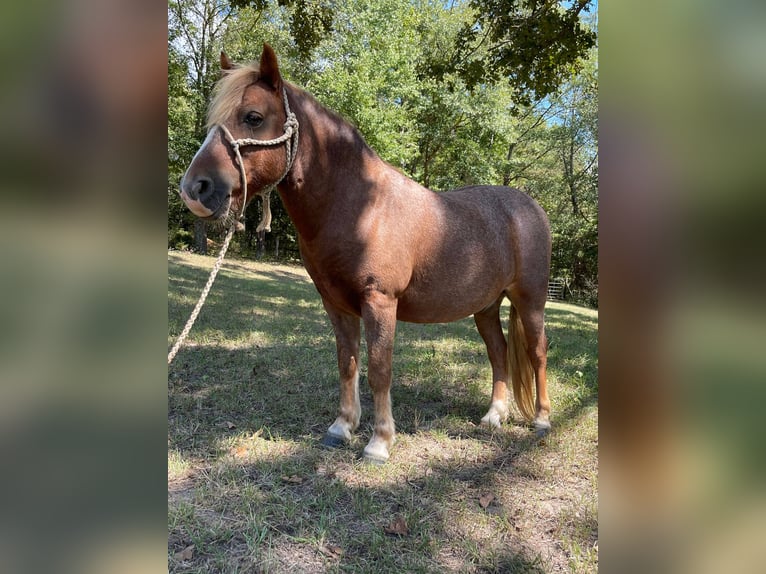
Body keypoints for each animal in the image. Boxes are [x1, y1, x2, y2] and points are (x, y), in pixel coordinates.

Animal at [180, 46, 552, 468]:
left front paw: (379, 442)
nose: (194, 189)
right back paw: (494, 416)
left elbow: (378, 369)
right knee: (499, 352)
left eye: (253, 117)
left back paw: (541, 421)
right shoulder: (336, 304)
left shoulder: (380, 302)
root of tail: (529, 207)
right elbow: (348, 363)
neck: (360, 206)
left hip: (530, 300)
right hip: (486, 307)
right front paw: (341, 428)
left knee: (537, 353)